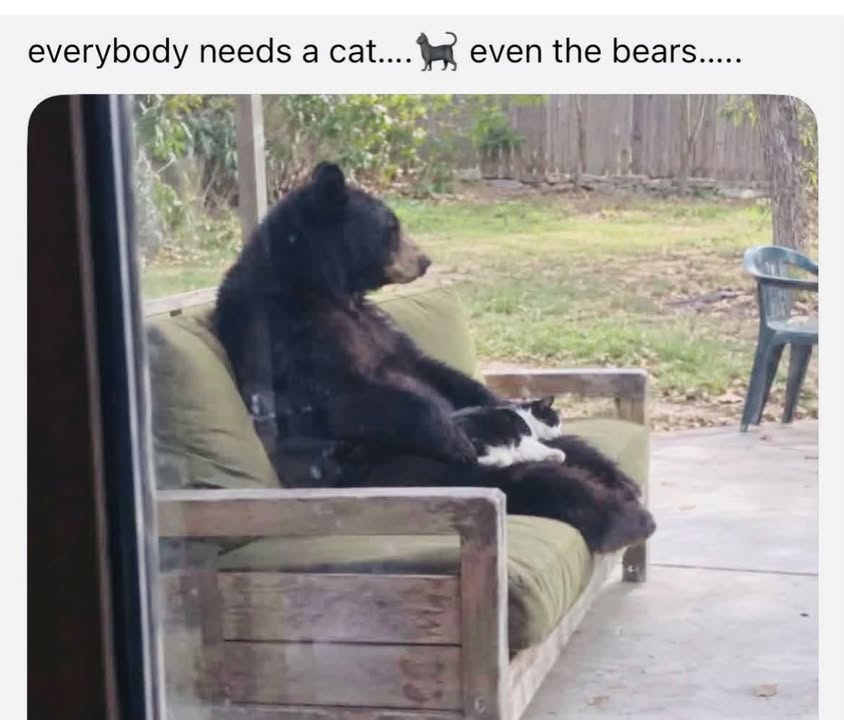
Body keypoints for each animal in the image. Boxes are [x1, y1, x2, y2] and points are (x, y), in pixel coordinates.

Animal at [212, 162, 655, 553]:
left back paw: (620, 480)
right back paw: (622, 516)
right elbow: (346, 396)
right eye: (392, 227)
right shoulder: (283, 331)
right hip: (409, 468)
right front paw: (449, 432)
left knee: (575, 448)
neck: (324, 287)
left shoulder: (380, 330)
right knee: (532, 479)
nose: (425, 260)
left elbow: (430, 368)